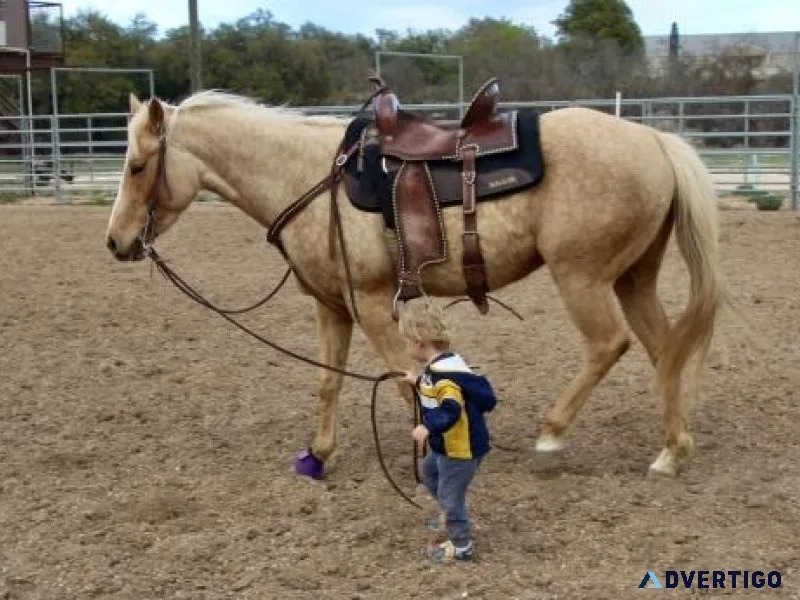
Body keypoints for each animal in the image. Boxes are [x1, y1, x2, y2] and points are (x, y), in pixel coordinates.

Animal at [105, 88, 726, 480]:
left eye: (137, 165)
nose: (115, 242)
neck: (307, 175)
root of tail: (653, 141)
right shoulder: (333, 307)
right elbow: (328, 383)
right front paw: (317, 455)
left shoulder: (374, 304)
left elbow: (407, 381)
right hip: (633, 278)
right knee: (665, 350)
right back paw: (672, 451)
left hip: (583, 276)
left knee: (608, 344)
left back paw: (553, 434)